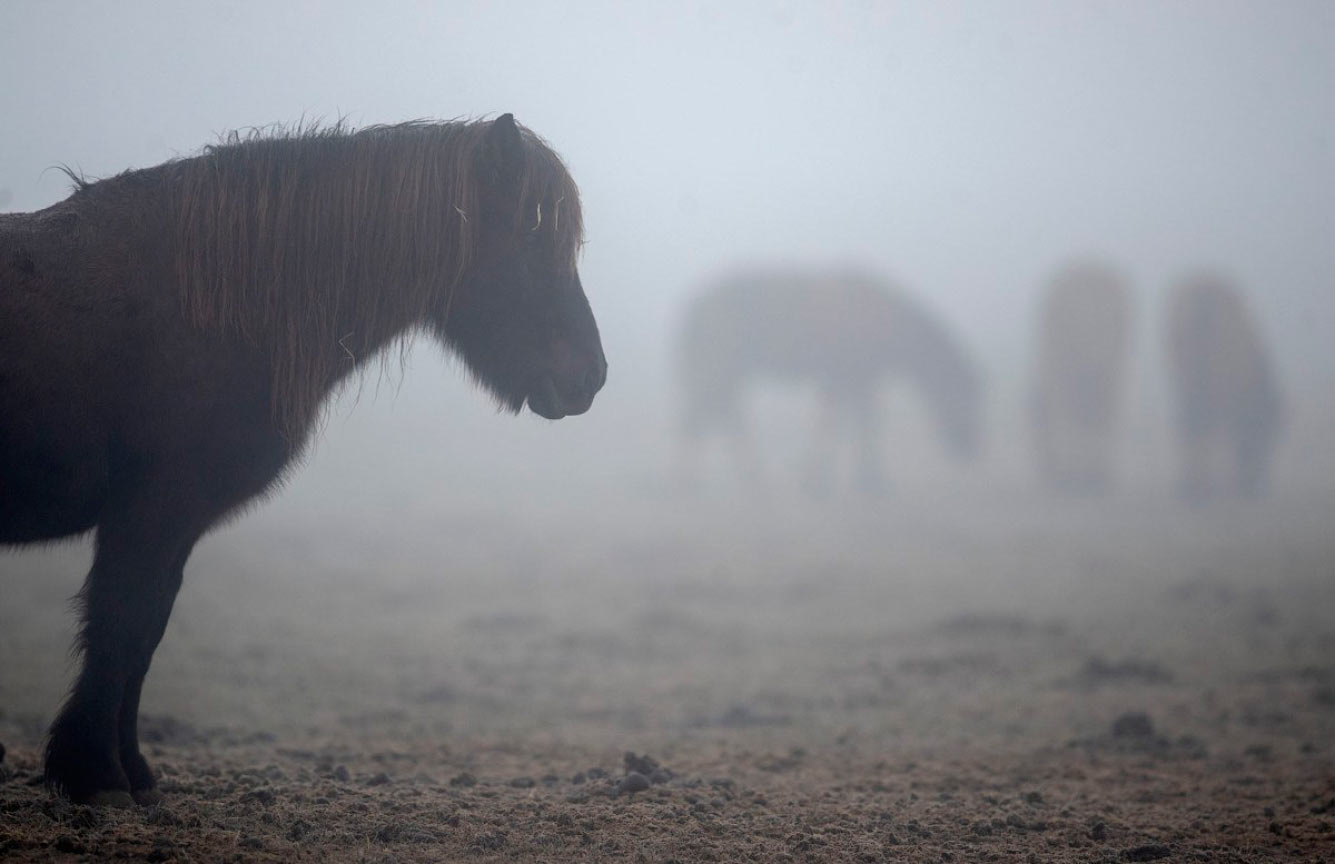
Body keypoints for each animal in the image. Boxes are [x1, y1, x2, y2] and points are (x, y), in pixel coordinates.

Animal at [0, 113, 606, 806]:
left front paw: (132, 774)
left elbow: (144, 632)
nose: (591, 376)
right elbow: (120, 624)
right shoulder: (151, 510)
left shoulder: (172, 522)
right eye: (531, 241)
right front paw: (96, 776)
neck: (210, 303)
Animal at [678, 269, 982, 499]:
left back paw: (748, 480)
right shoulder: (850, 377)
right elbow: (852, 424)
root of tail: (692, 309)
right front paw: (860, 481)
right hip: (719, 369)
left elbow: (849, 423)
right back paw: (700, 482)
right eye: (968, 400)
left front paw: (850, 479)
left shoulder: (853, 379)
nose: (973, 449)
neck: (886, 320)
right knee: (704, 417)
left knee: (720, 416)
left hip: (728, 373)